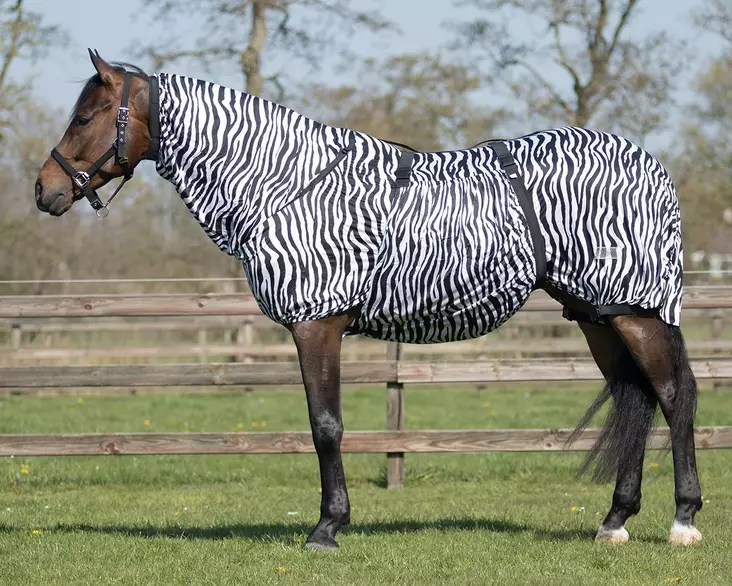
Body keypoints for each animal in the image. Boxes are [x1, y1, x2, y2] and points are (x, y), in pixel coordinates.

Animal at [36, 51, 702, 551]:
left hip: (636, 312)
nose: (43, 190)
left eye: (87, 116)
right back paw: (614, 522)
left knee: (673, 397)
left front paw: (327, 528)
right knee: (637, 395)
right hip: (598, 316)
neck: (285, 184)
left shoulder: (317, 326)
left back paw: (683, 521)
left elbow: (325, 425)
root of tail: (651, 165)